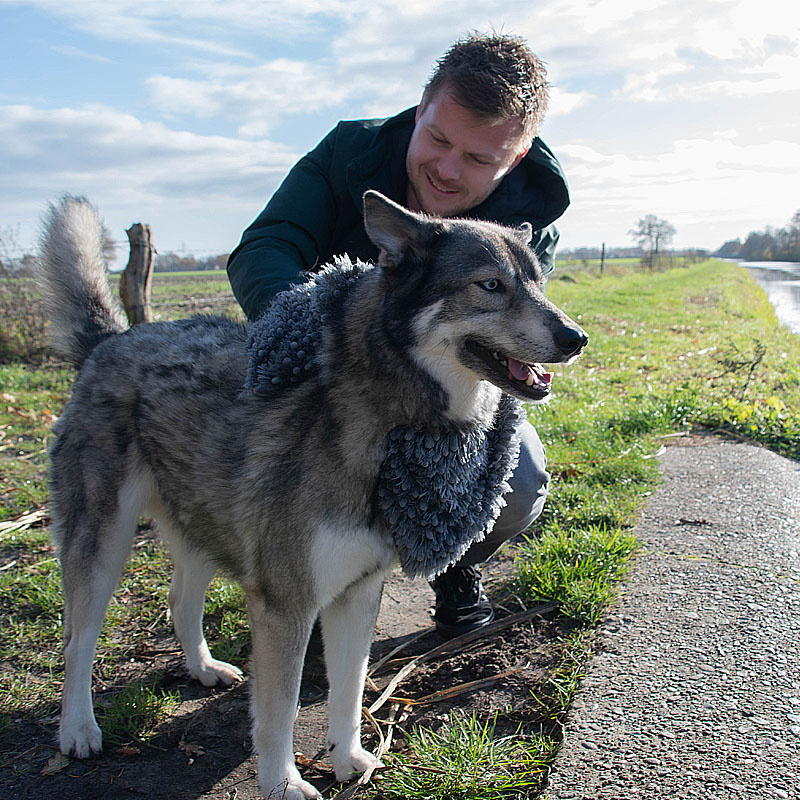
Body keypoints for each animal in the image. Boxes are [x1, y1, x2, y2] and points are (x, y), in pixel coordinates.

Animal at [39, 191, 588, 796]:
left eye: (540, 282)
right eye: (490, 285)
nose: (576, 338)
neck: (389, 427)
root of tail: (111, 341)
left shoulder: (359, 592)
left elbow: (349, 692)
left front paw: (348, 759)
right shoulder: (286, 602)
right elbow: (278, 710)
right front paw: (282, 784)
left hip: (205, 527)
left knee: (180, 601)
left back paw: (203, 669)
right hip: (104, 546)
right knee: (77, 642)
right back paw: (78, 730)